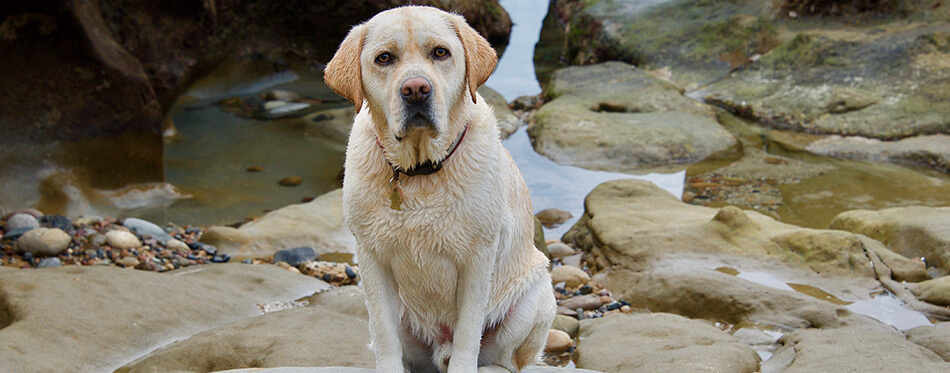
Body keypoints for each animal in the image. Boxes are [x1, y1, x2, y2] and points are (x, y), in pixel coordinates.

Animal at [324, 5, 556, 372]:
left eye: (440, 52)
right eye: (384, 58)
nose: (416, 89)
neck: (419, 171)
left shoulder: (478, 259)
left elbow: (467, 334)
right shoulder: (371, 258)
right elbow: (384, 334)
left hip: (536, 296)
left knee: (507, 359)